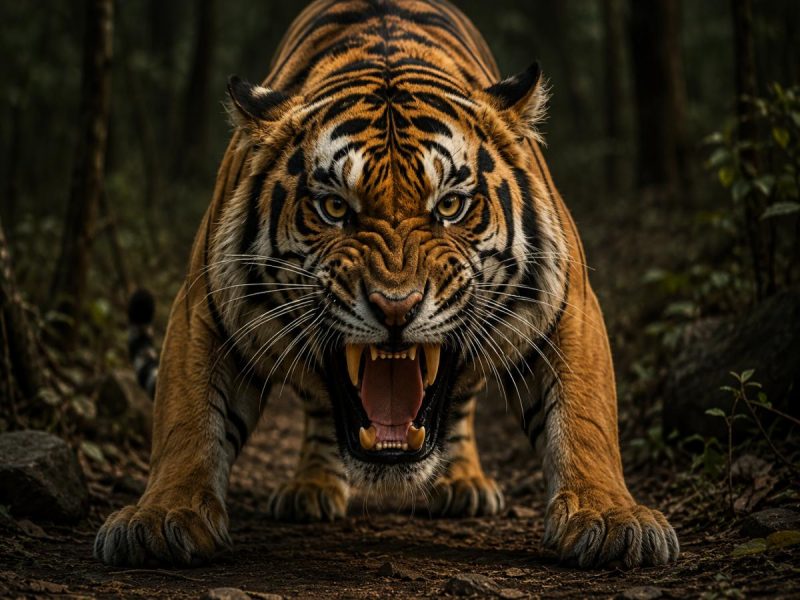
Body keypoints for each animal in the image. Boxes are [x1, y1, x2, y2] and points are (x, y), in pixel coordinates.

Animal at [94, 0, 679, 569]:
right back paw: (311, 487)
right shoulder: (204, 306)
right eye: (334, 208)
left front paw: (610, 518)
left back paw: (462, 482)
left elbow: (586, 418)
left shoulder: (568, 305)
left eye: (451, 206)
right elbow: (185, 421)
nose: (396, 308)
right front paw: (162, 516)